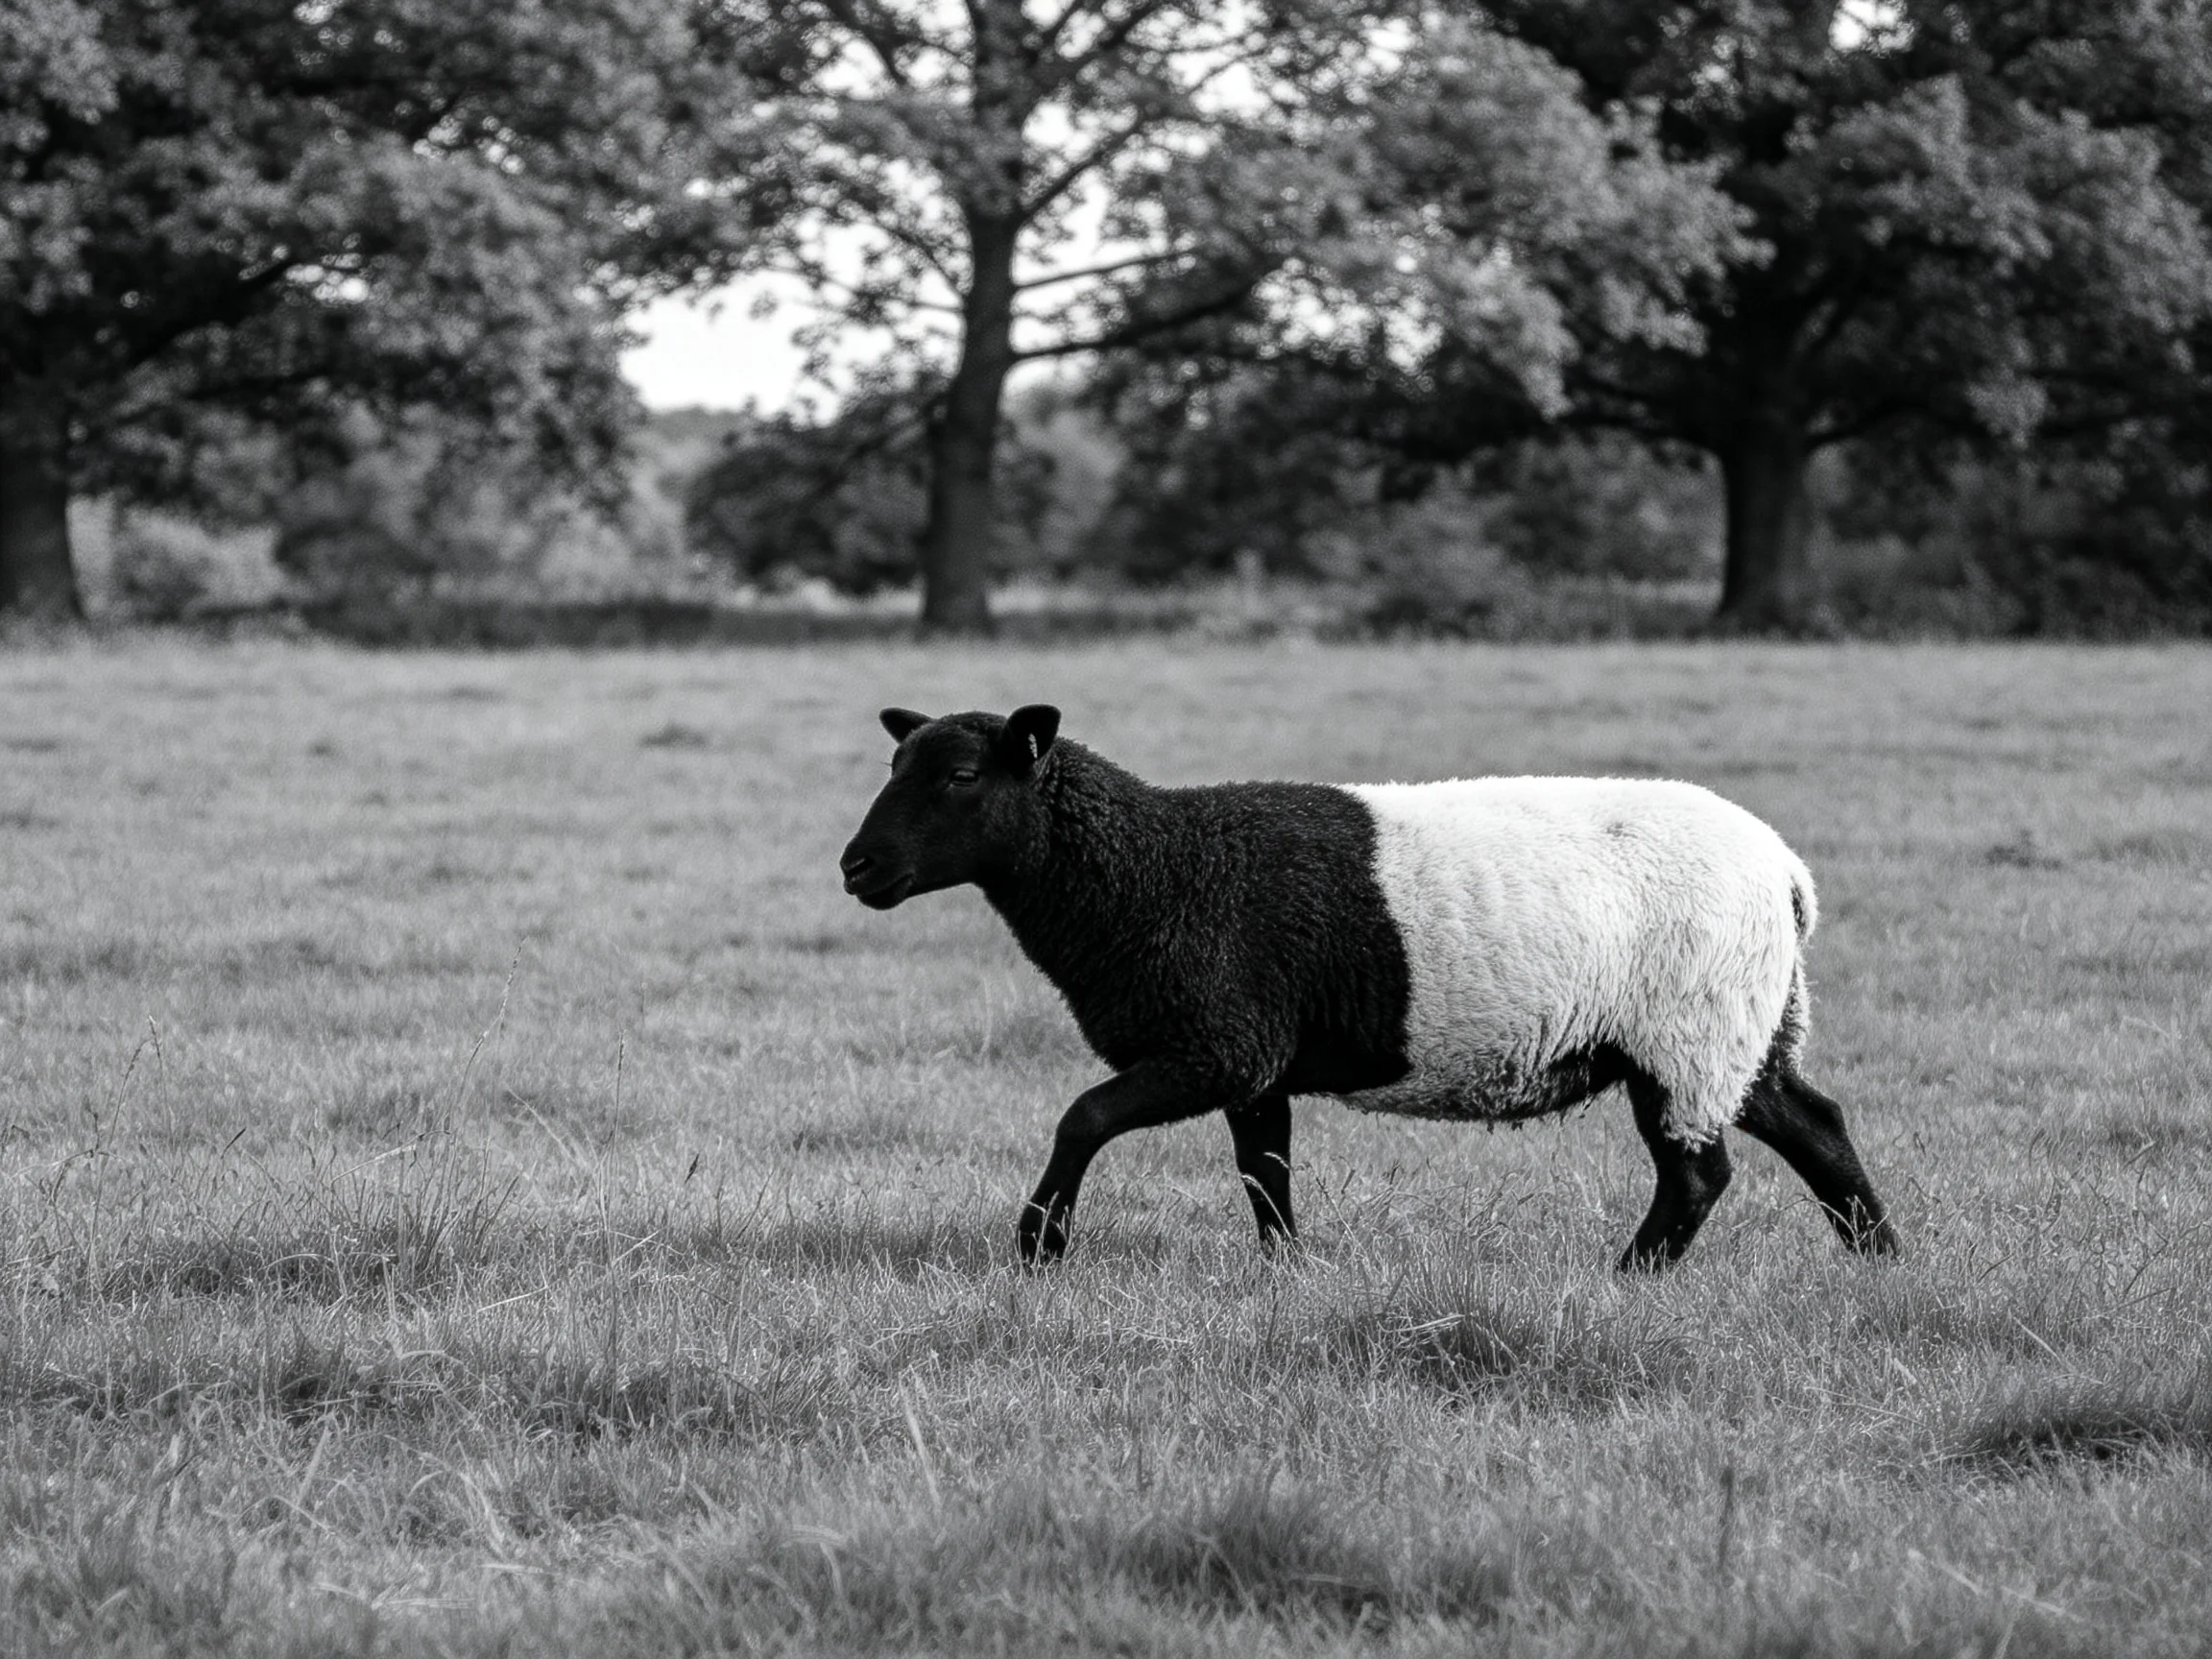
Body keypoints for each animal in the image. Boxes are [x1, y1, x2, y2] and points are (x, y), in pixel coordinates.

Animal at [838, 704, 1897, 1270]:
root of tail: (1786, 873)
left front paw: (1039, 1248)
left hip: (1685, 1028)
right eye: (896, 763)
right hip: (1741, 1027)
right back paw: (1879, 1262)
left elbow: (1083, 1118)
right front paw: (1287, 1275)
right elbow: (1265, 1173)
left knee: (1699, 1175)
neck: (1150, 869)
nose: (856, 867)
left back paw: (1628, 1281)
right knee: (1816, 1124)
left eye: (962, 775)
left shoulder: (1216, 1045)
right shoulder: (1256, 1066)